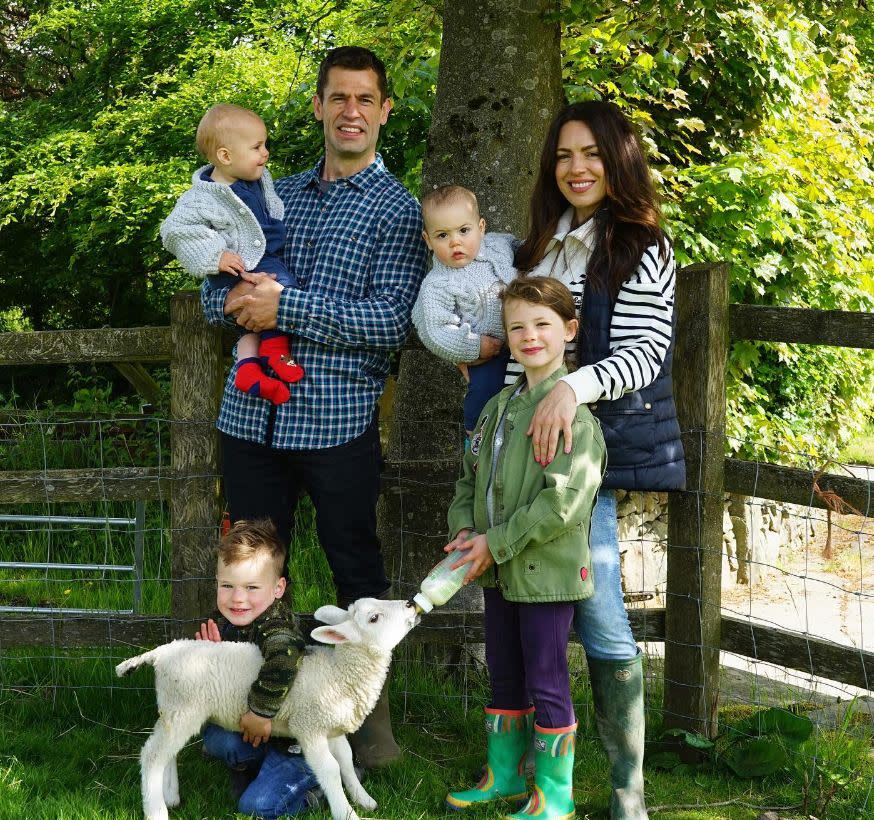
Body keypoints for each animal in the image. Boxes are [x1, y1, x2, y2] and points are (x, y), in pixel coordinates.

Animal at [115, 596, 418, 820]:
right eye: (374, 618)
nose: (410, 604)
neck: (338, 672)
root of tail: (162, 652)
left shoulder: (331, 726)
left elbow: (345, 759)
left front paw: (363, 799)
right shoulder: (308, 727)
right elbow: (330, 769)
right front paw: (346, 813)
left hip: (173, 707)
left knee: (167, 753)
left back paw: (170, 796)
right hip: (183, 708)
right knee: (152, 755)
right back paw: (156, 811)